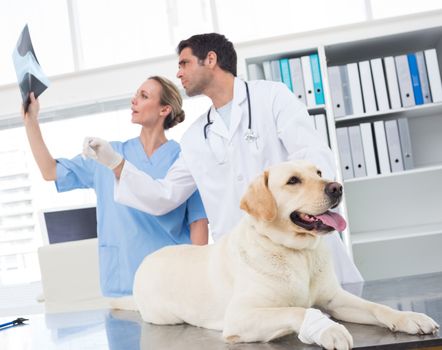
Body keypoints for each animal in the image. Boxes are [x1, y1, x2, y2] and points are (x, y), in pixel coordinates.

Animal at [114, 160, 438, 348]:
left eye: (318, 173)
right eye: (293, 181)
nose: (337, 187)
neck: (297, 253)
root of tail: (148, 260)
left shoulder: (335, 299)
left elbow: (376, 307)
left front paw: (409, 318)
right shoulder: (240, 316)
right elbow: (297, 310)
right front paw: (326, 329)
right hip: (162, 316)